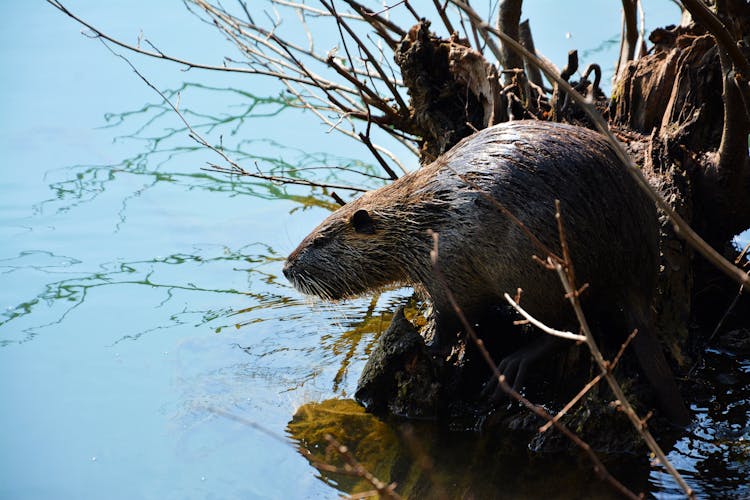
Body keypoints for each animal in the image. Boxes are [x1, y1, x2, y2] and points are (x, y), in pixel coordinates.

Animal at [284, 119, 692, 424]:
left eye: (320, 240)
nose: (287, 268)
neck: (422, 219)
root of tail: (639, 278)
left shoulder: (447, 267)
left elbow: (452, 318)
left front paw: (431, 346)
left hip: (536, 271)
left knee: (567, 328)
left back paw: (512, 366)